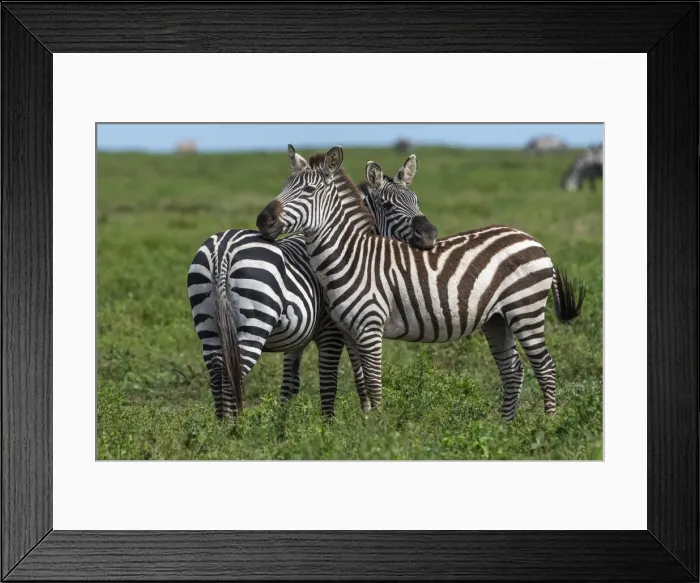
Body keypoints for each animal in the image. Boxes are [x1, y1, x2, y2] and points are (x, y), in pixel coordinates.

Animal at [187, 151, 437, 420]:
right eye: (388, 206)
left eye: (416, 200)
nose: (430, 235)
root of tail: (222, 251)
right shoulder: (333, 331)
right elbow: (335, 380)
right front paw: (336, 424)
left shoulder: (297, 339)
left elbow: (290, 386)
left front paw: (283, 423)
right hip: (253, 324)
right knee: (231, 376)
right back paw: (235, 428)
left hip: (209, 327)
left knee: (217, 375)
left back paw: (220, 427)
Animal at [256, 145, 586, 422]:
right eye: (283, 187)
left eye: (309, 190)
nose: (263, 220)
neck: (352, 254)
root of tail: (533, 240)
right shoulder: (350, 332)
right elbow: (361, 382)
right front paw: (364, 424)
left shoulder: (369, 327)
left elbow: (374, 383)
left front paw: (377, 429)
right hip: (497, 318)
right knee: (513, 369)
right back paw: (507, 427)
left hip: (525, 309)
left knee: (545, 367)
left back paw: (547, 424)